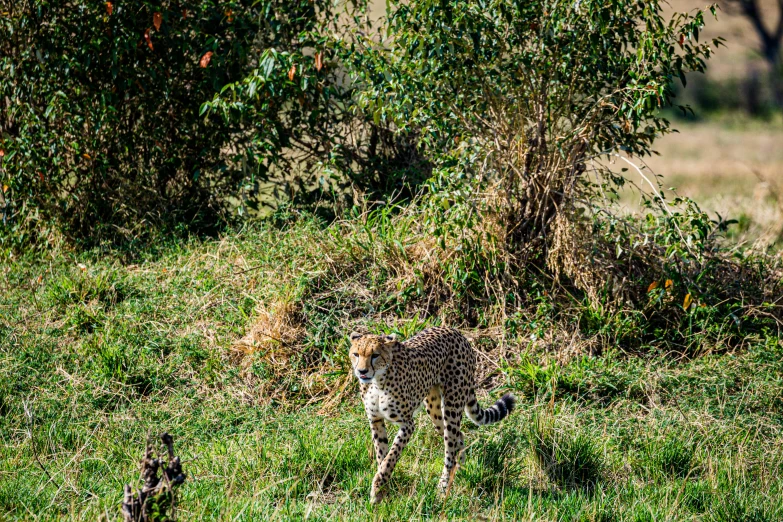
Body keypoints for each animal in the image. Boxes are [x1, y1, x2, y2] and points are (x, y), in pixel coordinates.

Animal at [350, 324, 516, 500]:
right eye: (356, 354)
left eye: (375, 355)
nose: (362, 371)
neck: (377, 382)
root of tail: (454, 331)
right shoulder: (375, 420)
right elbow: (382, 455)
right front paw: (382, 489)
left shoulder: (407, 424)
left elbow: (391, 455)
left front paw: (378, 487)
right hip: (433, 407)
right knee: (459, 436)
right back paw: (461, 470)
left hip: (452, 405)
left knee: (450, 447)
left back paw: (443, 486)